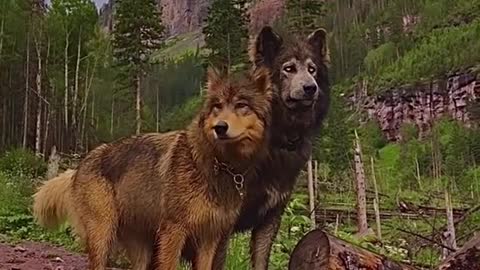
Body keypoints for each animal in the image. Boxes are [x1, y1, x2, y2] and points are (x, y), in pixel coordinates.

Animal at [33, 66, 274, 270]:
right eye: (217, 106)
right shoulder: (174, 231)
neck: (220, 164)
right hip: (103, 235)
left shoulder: (209, 238)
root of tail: (79, 165)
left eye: (241, 105)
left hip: (140, 247)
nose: (220, 127)